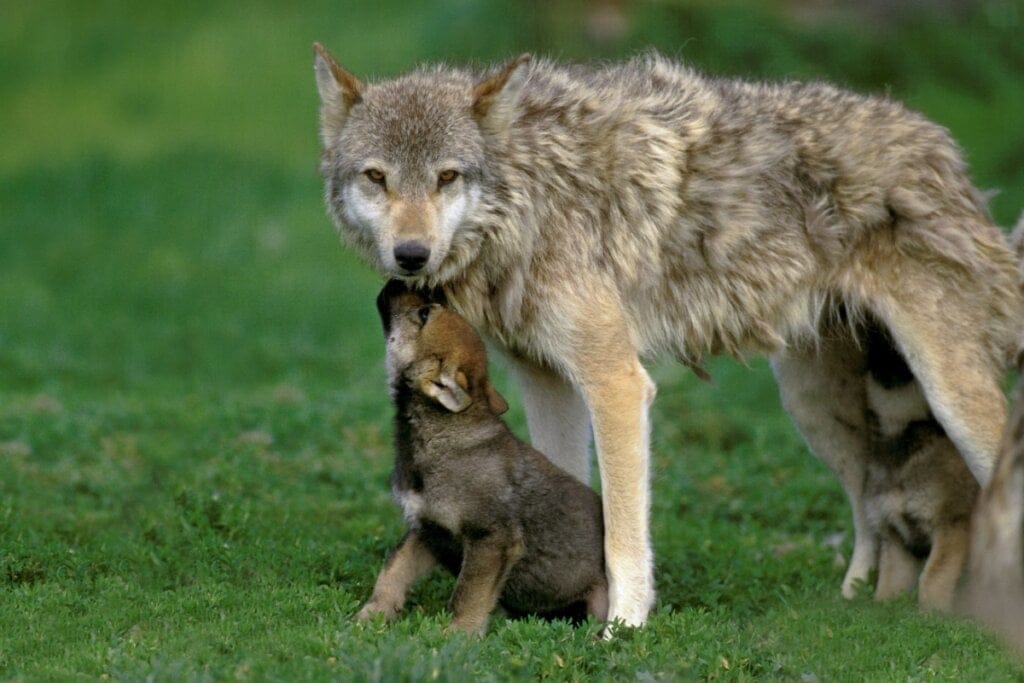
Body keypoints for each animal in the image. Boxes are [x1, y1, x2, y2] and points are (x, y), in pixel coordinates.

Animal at [358, 280, 607, 634]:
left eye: (424, 313)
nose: (397, 281)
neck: (440, 434)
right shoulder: (427, 530)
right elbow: (393, 570)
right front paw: (372, 616)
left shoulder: (491, 538)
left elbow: (467, 593)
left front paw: (458, 634)